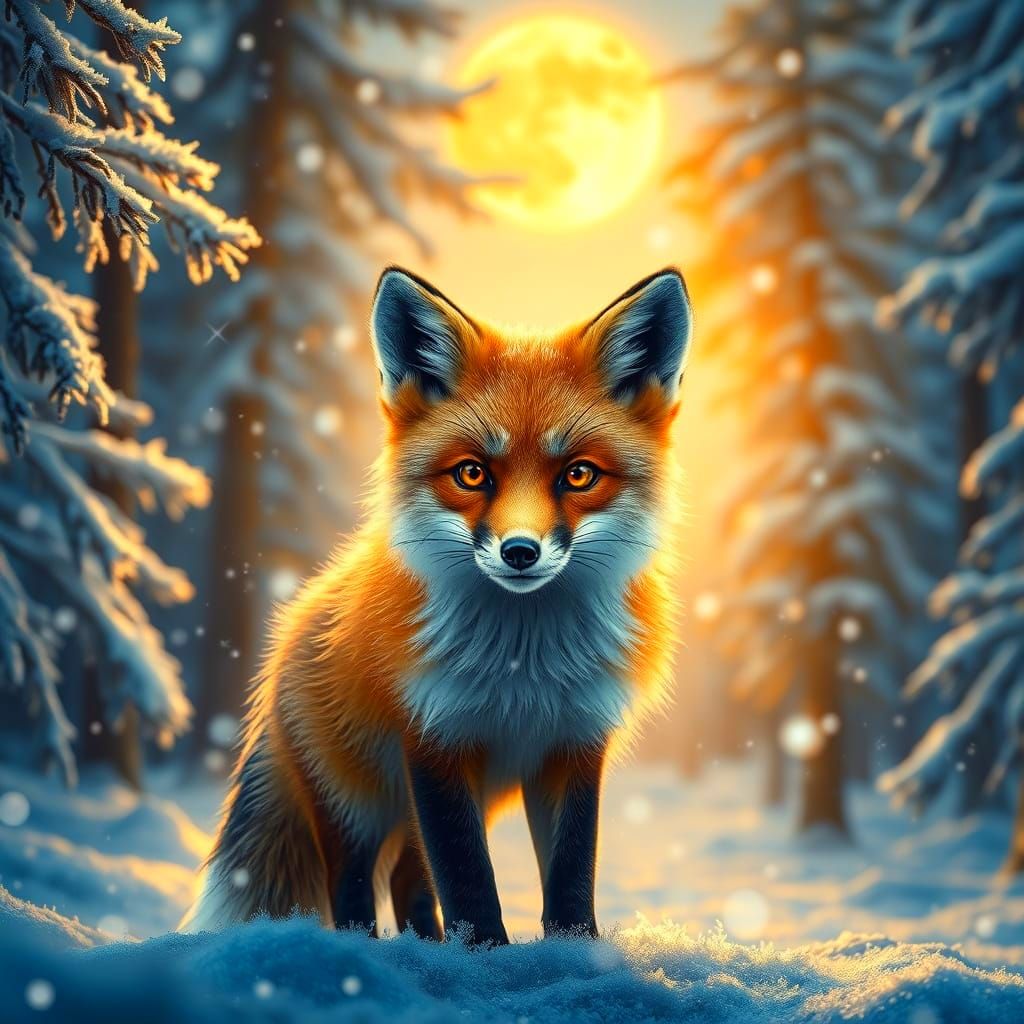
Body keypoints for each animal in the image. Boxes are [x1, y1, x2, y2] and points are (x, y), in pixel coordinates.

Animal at [179, 266, 693, 945]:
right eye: (472, 474)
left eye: (579, 475)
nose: (520, 551)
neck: (522, 667)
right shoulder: (433, 738)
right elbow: (469, 879)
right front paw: (488, 959)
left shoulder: (573, 742)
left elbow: (570, 874)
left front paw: (573, 953)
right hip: (356, 803)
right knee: (354, 884)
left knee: (408, 879)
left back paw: (427, 946)